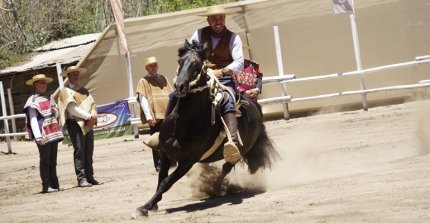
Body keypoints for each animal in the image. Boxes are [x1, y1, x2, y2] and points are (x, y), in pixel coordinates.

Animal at [136, 39, 280, 216]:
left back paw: (218, 187)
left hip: (241, 150)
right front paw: (153, 204)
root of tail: (255, 105)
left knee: (227, 167)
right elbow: (161, 179)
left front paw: (145, 207)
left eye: (198, 65)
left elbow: (166, 182)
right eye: (180, 61)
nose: (180, 86)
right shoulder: (165, 153)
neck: (182, 125)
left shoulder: (187, 161)